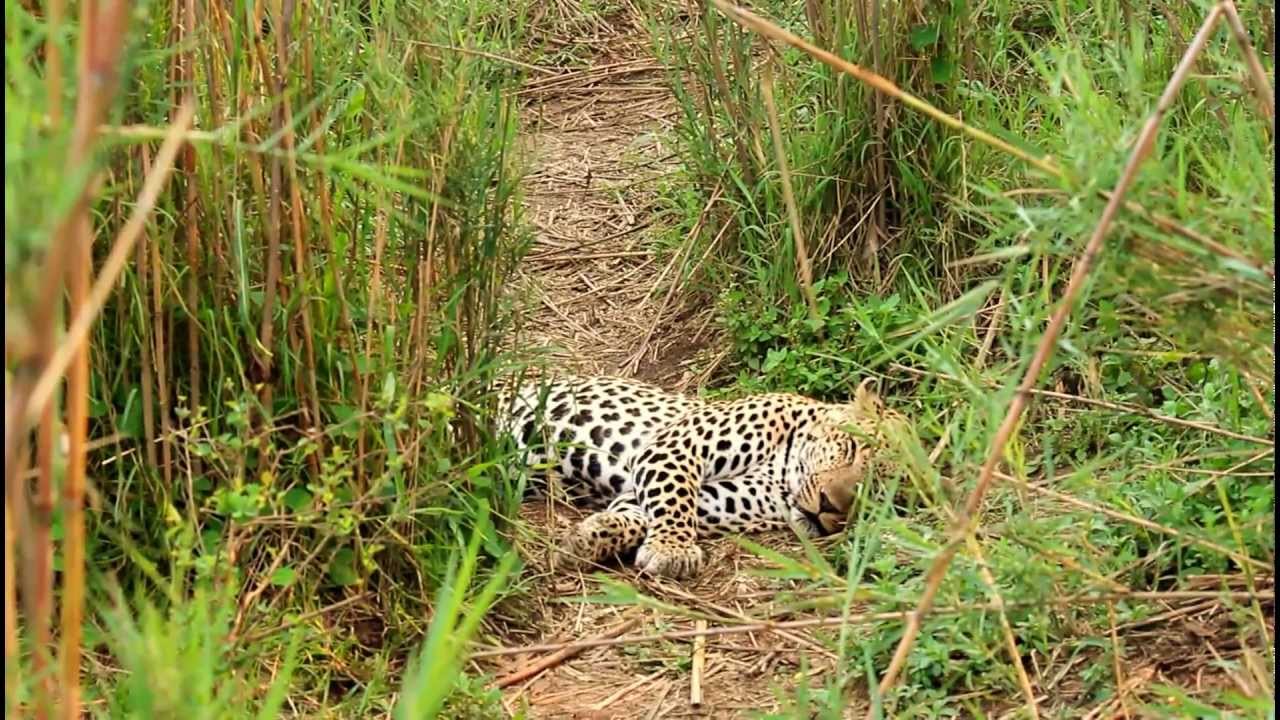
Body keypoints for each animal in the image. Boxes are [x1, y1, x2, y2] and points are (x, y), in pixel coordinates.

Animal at [497, 374, 899, 579]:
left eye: (874, 494)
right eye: (850, 447)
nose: (829, 506)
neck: (782, 470)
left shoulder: (723, 499)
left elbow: (642, 515)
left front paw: (588, 539)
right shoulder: (677, 445)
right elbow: (675, 497)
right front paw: (671, 552)